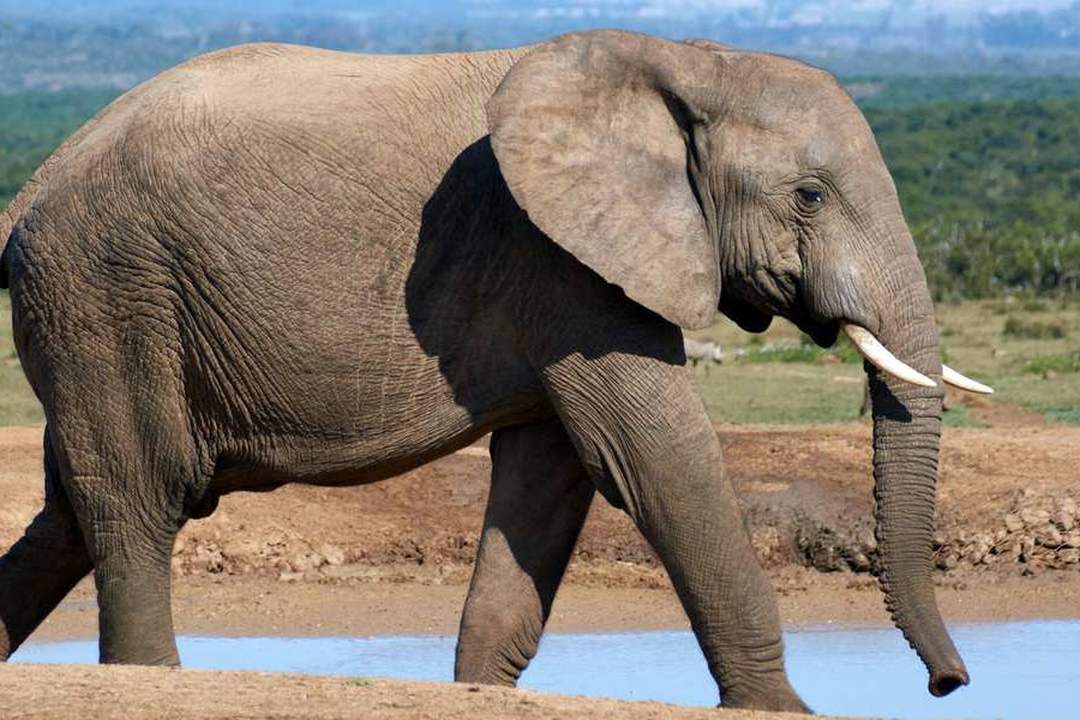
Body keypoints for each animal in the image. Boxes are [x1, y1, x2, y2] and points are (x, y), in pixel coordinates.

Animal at [0, 30, 993, 711]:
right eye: (810, 197)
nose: (948, 685)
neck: (687, 62)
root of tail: (32, 191)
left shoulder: (560, 277)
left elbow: (550, 481)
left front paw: (479, 692)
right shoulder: (560, 260)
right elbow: (656, 463)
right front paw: (783, 710)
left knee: (70, 513)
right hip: (107, 292)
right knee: (138, 497)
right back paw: (152, 676)